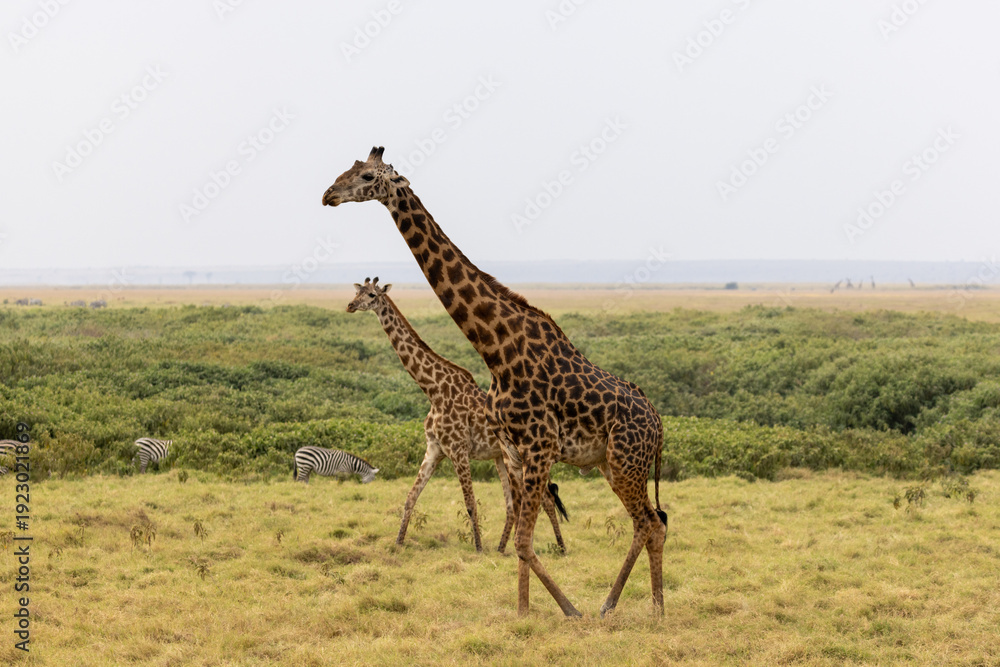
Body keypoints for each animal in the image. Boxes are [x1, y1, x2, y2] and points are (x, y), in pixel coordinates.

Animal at [346, 276, 568, 554]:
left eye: (372, 295)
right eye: (358, 292)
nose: (350, 305)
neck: (433, 390)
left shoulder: (458, 450)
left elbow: (470, 503)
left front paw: (478, 548)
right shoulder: (434, 449)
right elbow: (410, 497)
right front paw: (398, 543)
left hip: (523, 457)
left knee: (545, 499)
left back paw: (560, 548)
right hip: (502, 459)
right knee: (513, 505)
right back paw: (502, 547)